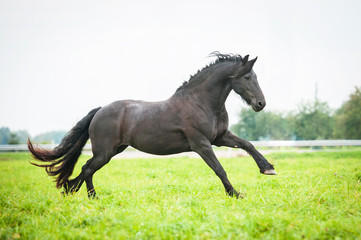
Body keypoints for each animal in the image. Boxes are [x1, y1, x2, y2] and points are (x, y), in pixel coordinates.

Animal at [28, 52, 276, 199]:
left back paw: (71, 189)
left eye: (255, 76)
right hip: (105, 152)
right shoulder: (202, 144)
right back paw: (91, 197)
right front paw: (235, 193)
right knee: (87, 168)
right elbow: (219, 168)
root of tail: (100, 110)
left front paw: (268, 168)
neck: (201, 102)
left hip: (113, 150)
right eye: (247, 77)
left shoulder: (221, 137)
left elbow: (248, 145)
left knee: (84, 168)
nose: (261, 104)